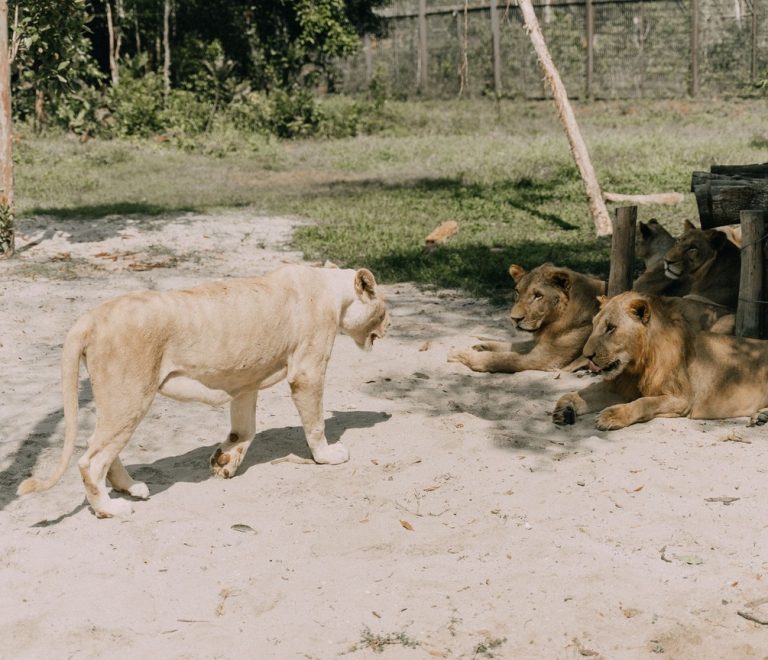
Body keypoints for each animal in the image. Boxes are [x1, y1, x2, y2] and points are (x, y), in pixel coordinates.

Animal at [17, 265, 390, 518]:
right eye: (385, 306)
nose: (390, 324)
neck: (331, 290)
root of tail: (90, 318)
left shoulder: (245, 381)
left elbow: (245, 428)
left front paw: (224, 462)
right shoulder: (307, 371)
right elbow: (315, 423)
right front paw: (327, 455)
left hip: (117, 400)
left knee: (103, 448)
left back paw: (132, 488)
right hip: (130, 395)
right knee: (90, 460)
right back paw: (110, 508)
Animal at [448, 263, 606, 373]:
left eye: (538, 295)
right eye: (517, 292)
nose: (514, 319)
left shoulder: (546, 358)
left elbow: (502, 358)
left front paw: (463, 354)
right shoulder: (541, 343)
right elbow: (512, 345)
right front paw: (482, 346)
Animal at [552, 291, 768, 431]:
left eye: (611, 327)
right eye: (595, 324)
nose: (587, 355)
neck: (637, 365)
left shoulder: (682, 398)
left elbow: (643, 403)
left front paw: (612, 416)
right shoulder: (622, 387)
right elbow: (583, 392)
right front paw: (566, 407)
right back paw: (761, 417)